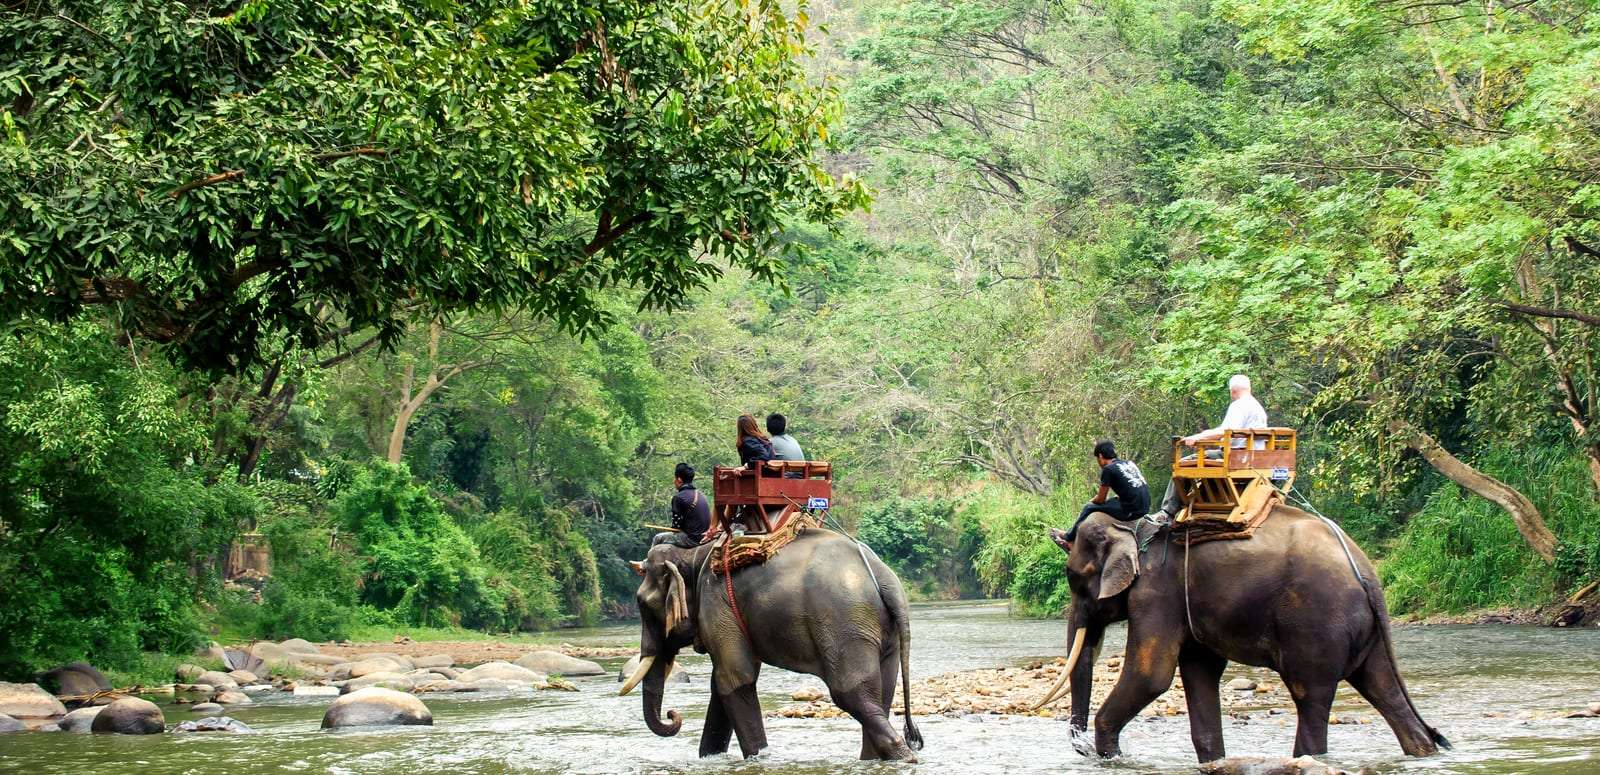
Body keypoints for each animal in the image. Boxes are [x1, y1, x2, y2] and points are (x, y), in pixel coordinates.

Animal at [620, 528, 923, 761]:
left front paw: (758, 758)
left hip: (844, 623)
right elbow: (723, 684)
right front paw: (710, 758)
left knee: (851, 693)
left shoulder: (717, 605)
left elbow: (734, 679)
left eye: (642, 604)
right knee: (881, 691)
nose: (673, 715)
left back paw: (904, 756)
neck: (694, 554)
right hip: (881, 631)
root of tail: (885, 578)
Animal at [1040, 507, 1449, 762]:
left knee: (1310, 695)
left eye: (1075, 579)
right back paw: (1423, 750)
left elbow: (1150, 675)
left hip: (1316, 625)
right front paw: (1212, 760)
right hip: (1367, 633)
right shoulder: (1186, 603)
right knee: (1383, 688)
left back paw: (1308, 757)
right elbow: (1199, 671)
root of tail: (1367, 572)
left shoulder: (1156, 594)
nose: (1082, 748)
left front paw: (1112, 756)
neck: (1132, 526)